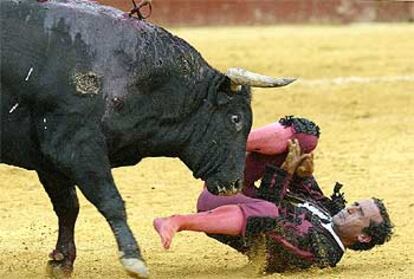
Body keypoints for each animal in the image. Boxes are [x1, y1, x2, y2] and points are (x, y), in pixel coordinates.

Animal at [0, 0, 294, 278]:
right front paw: (134, 259)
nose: (234, 184)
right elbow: (110, 200)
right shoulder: (76, 147)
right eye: (235, 119)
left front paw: (61, 262)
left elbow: (67, 207)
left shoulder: (48, 159)